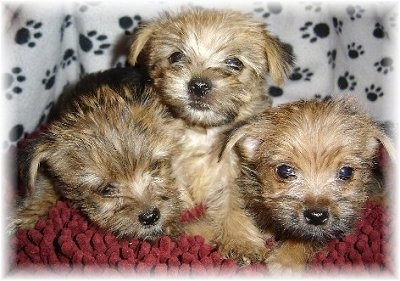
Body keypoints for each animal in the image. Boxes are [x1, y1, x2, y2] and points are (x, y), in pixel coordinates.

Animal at [128, 7, 294, 262]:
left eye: (234, 63)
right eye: (176, 56)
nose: (198, 85)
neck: (201, 131)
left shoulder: (237, 173)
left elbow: (234, 205)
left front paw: (240, 241)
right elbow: (177, 187)